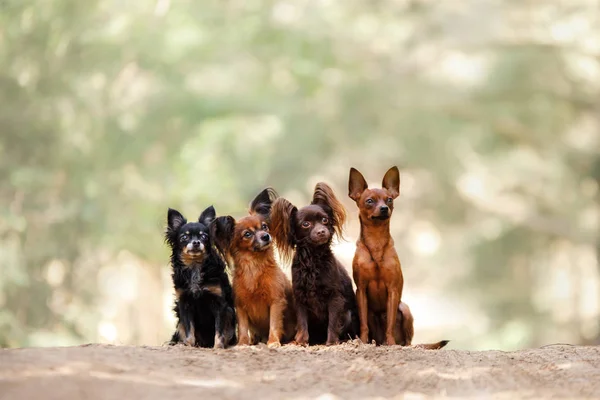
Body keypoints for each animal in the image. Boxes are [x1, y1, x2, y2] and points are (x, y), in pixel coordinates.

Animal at [350, 167, 448, 348]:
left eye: (389, 199)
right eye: (369, 201)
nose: (384, 208)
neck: (376, 241)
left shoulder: (393, 290)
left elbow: (389, 323)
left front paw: (391, 343)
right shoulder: (361, 290)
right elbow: (363, 324)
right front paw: (363, 341)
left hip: (405, 309)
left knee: (407, 341)